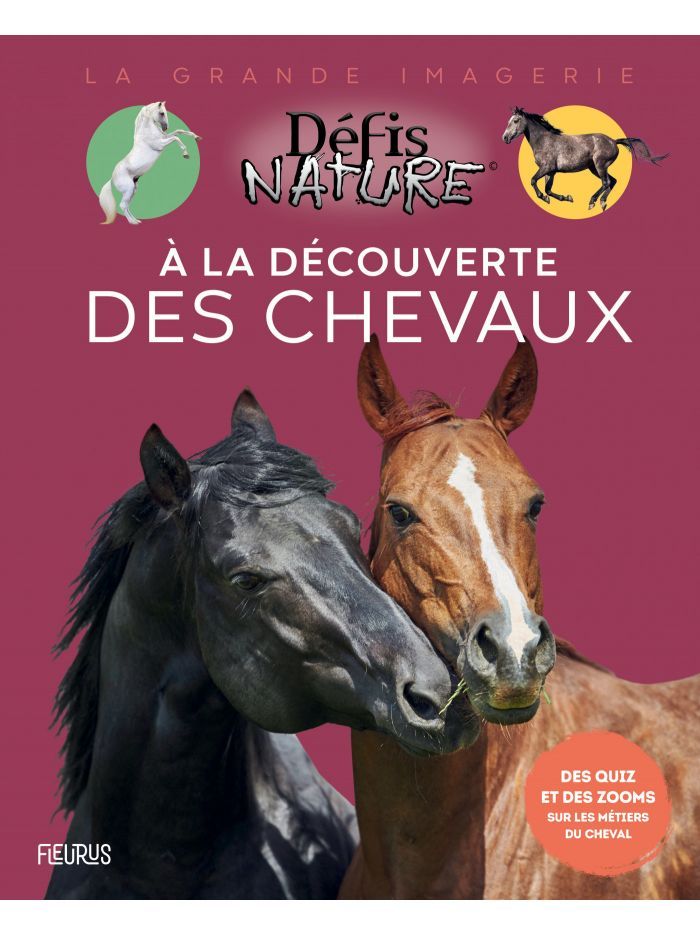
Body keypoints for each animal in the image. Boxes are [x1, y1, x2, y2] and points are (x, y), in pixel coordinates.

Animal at [502, 106, 668, 211]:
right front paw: (566, 198)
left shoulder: (546, 168)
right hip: (594, 167)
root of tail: (614, 141)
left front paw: (543, 197)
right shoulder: (551, 172)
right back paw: (602, 202)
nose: (505, 138)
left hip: (600, 165)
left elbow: (533, 181)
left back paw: (592, 202)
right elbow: (548, 189)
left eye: (515, 121)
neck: (544, 140)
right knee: (612, 181)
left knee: (606, 182)